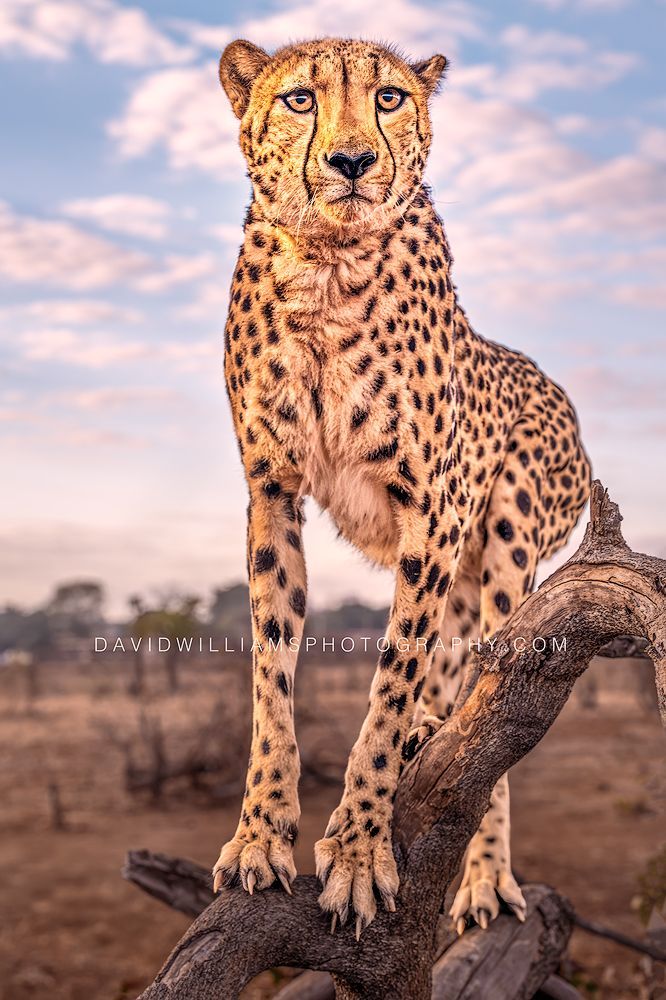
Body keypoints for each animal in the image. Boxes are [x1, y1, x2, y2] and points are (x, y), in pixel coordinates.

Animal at [213, 36, 591, 939]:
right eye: (301, 99)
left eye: (389, 97)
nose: (353, 161)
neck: (325, 264)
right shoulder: (270, 494)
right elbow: (271, 680)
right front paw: (260, 835)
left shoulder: (434, 511)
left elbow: (391, 681)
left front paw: (356, 852)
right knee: (455, 662)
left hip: (510, 530)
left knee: (492, 697)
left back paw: (485, 878)